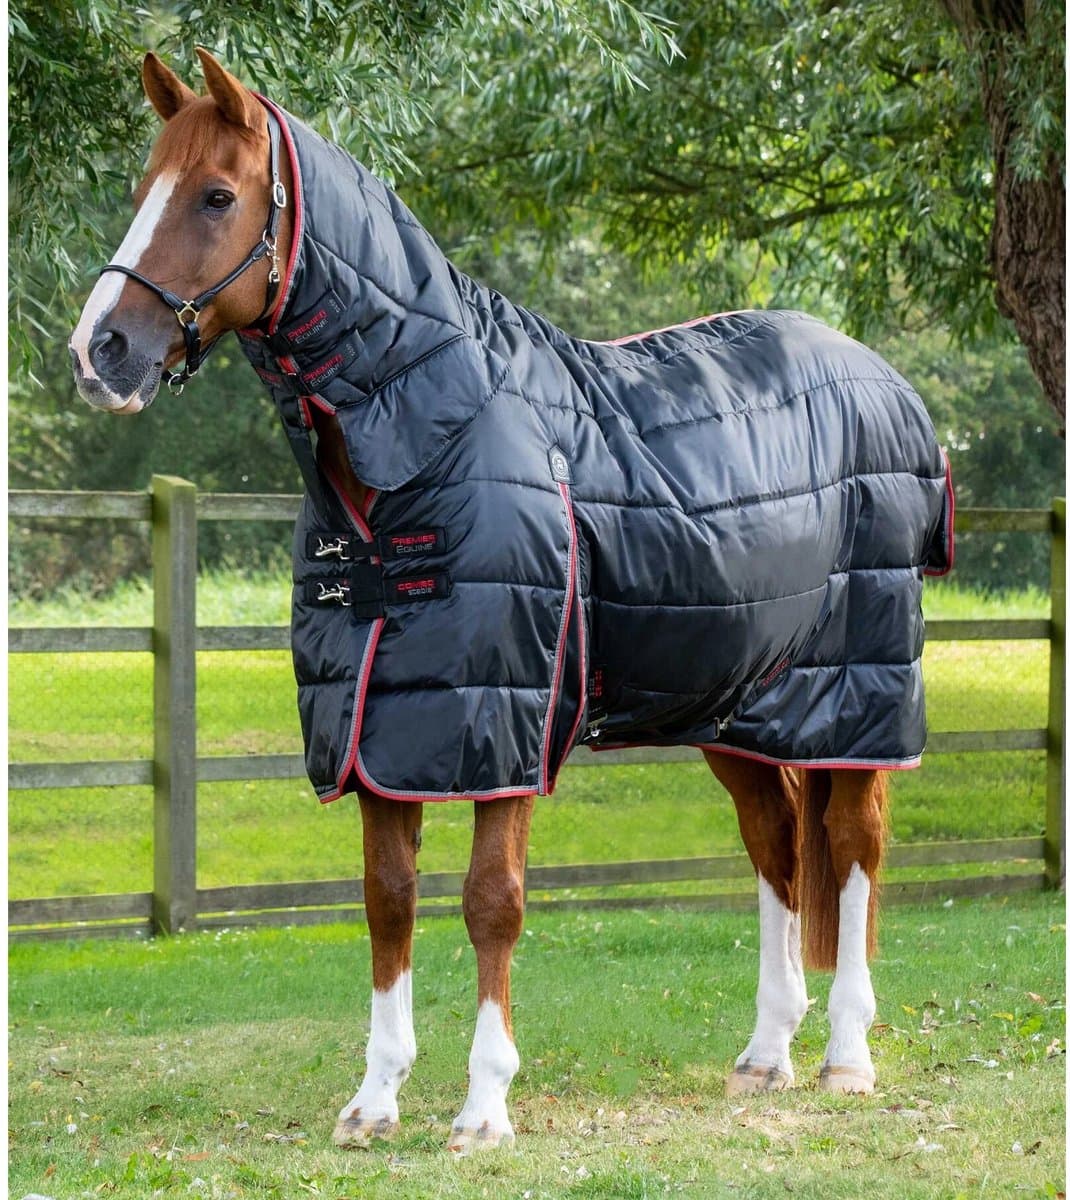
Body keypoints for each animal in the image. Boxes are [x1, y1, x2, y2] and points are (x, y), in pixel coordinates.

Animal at [69, 50, 953, 1153]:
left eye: (217, 196)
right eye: (142, 189)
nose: (99, 352)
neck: (433, 431)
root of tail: (890, 386)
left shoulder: (503, 722)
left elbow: (492, 901)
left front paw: (483, 1105)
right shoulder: (380, 728)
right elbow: (387, 901)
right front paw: (374, 1099)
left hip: (861, 698)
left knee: (852, 852)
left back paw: (845, 1056)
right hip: (740, 707)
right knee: (777, 849)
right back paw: (764, 1054)